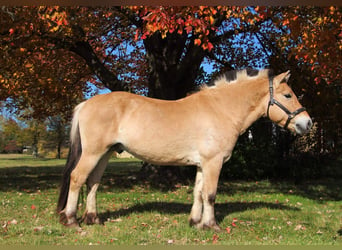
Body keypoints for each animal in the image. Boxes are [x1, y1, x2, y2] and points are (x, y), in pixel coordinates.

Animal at [56, 69, 312, 232]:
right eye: (287, 95)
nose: (307, 123)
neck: (221, 109)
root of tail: (86, 103)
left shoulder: (202, 164)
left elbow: (198, 193)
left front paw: (196, 223)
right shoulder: (213, 162)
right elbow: (210, 194)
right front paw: (212, 226)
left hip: (105, 153)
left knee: (93, 182)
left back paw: (93, 219)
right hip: (93, 153)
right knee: (77, 178)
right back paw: (72, 221)